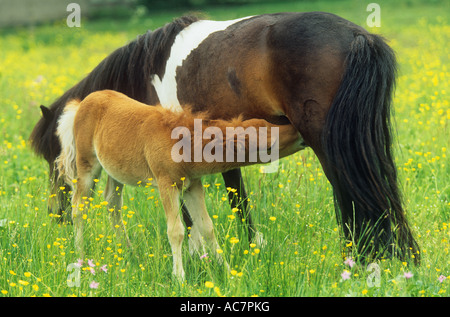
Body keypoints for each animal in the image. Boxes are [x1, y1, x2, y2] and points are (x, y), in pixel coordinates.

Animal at [30, 11, 418, 262]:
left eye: (53, 158)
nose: (56, 216)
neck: (148, 69)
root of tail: (358, 37)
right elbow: (238, 200)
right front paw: (250, 248)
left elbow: (192, 214)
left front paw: (197, 255)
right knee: (383, 192)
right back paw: (400, 258)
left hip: (332, 146)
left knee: (352, 196)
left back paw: (360, 260)